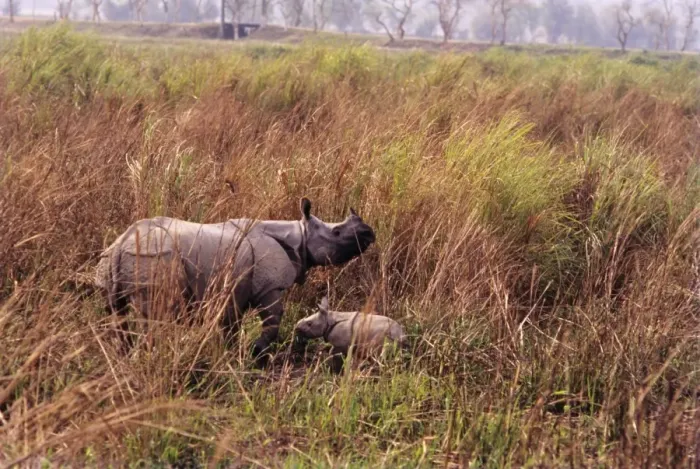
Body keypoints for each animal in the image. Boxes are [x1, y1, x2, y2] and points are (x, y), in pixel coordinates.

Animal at [93, 198, 376, 364]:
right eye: (336, 232)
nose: (369, 233)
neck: (301, 236)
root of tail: (121, 244)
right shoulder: (269, 286)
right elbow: (273, 319)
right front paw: (257, 352)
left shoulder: (233, 286)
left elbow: (231, 323)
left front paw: (232, 352)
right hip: (152, 258)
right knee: (152, 313)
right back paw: (149, 357)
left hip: (113, 262)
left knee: (116, 313)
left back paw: (124, 358)